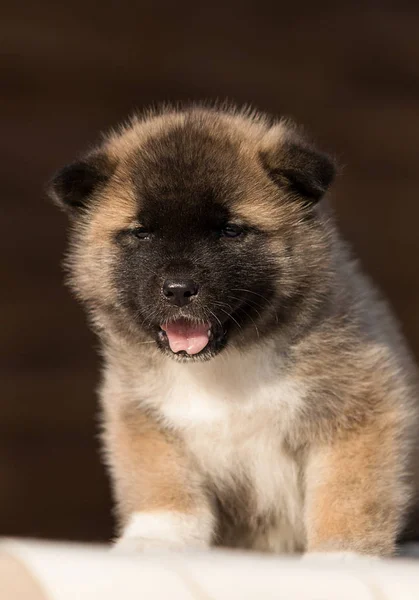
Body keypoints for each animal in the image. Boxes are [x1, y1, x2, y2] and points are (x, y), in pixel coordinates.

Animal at [50, 104, 419, 556]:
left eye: (230, 230)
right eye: (141, 233)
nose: (178, 289)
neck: (228, 365)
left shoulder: (357, 409)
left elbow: (347, 495)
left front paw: (341, 557)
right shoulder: (142, 415)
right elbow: (162, 485)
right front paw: (154, 539)